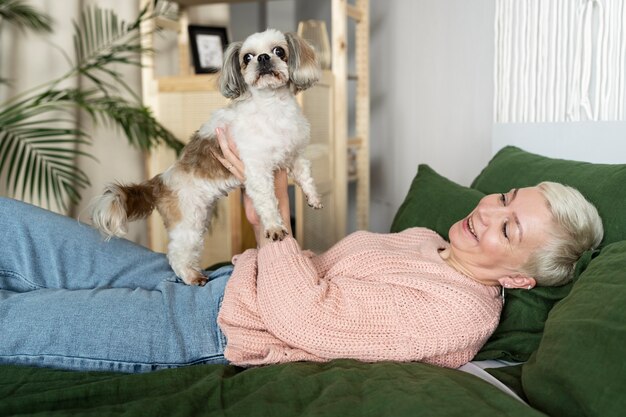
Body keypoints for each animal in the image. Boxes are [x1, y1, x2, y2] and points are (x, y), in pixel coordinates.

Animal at [91, 27, 322, 284]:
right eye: (247, 58)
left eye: (279, 51)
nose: (263, 58)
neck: (273, 107)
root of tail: (160, 182)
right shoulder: (257, 169)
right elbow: (268, 201)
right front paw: (274, 226)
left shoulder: (295, 154)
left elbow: (305, 175)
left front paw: (313, 197)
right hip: (188, 223)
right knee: (176, 255)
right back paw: (191, 276)